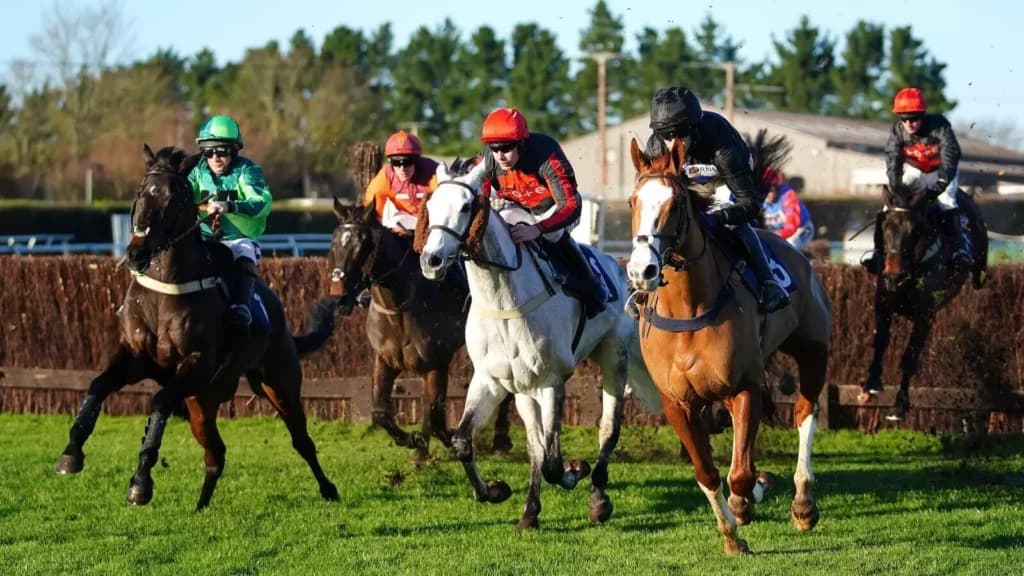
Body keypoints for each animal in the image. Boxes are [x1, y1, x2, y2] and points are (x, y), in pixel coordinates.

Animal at [55, 145, 339, 510]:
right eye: (140, 192)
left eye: (174, 198)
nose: (136, 253)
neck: (166, 289)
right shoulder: (135, 357)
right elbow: (98, 385)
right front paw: (71, 453)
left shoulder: (196, 363)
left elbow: (160, 401)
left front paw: (141, 482)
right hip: (202, 400)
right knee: (215, 453)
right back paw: (201, 505)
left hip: (278, 383)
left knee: (301, 440)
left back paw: (329, 488)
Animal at [327, 199, 514, 465]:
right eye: (334, 241)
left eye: (363, 243)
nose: (339, 294)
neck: (399, 306)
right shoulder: (385, 359)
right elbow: (381, 411)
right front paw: (413, 441)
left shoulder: (436, 362)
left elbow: (434, 412)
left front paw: (439, 440)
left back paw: (500, 441)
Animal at [415, 159, 660, 531]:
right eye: (429, 205)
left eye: (466, 206)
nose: (432, 261)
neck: (503, 300)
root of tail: (618, 270)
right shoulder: (493, 380)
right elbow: (465, 441)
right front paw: (495, 491)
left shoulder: (551, 381)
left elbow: (554, 462)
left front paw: (575, 470)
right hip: (524, 389)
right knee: (536, 444)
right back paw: (531, 510)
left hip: (613, 357)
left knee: (608, 428)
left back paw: (598, 498)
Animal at [625, 136, 832, 555]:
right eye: (632, 202)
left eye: (676, 203)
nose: (642, 271)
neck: (689, 308)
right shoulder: (677, 403)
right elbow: (707, 471)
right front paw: (732, 536)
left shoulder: (744, 387)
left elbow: (739, 474)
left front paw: (744, 505)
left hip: (813, 349)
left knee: (806, 413)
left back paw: (803, 504)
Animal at [859, 184, 988, 425]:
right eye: (885, 227)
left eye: (915, 231)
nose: (894, 277)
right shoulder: (883, 302)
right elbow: (880, 341)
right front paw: (870, 385)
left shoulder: (925, 315)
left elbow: (910, 356)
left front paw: (899, 407)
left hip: (978, 268)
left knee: (979, 276)